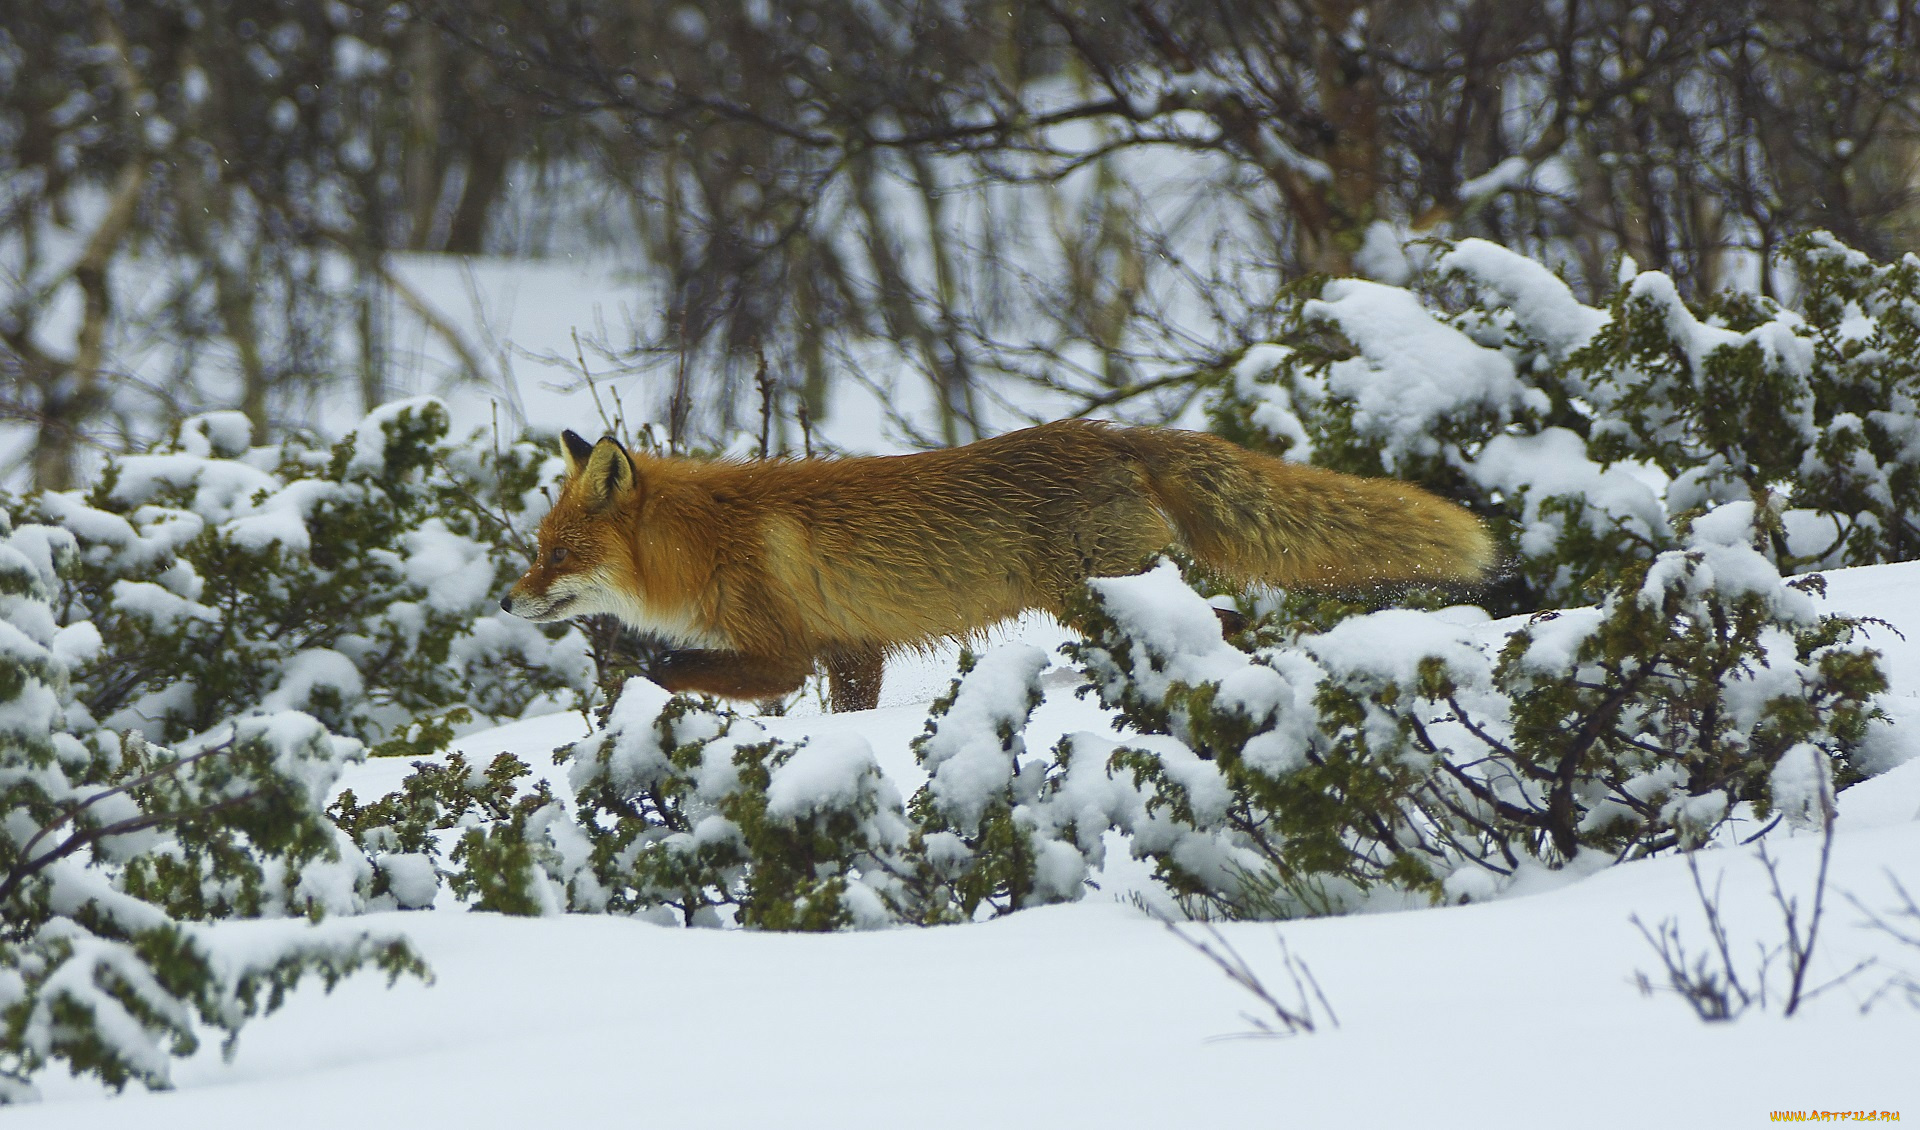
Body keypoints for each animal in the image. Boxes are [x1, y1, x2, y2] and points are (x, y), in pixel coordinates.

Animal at [503, 418, 1489, 709]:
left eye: (555, 555)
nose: (509, 603)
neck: (706, 539)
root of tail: (1110, 432)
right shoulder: (852, 654)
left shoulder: (783, 652)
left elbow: (669, 667)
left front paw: (632, 686)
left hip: (1091, 597)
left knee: (1220, 625)